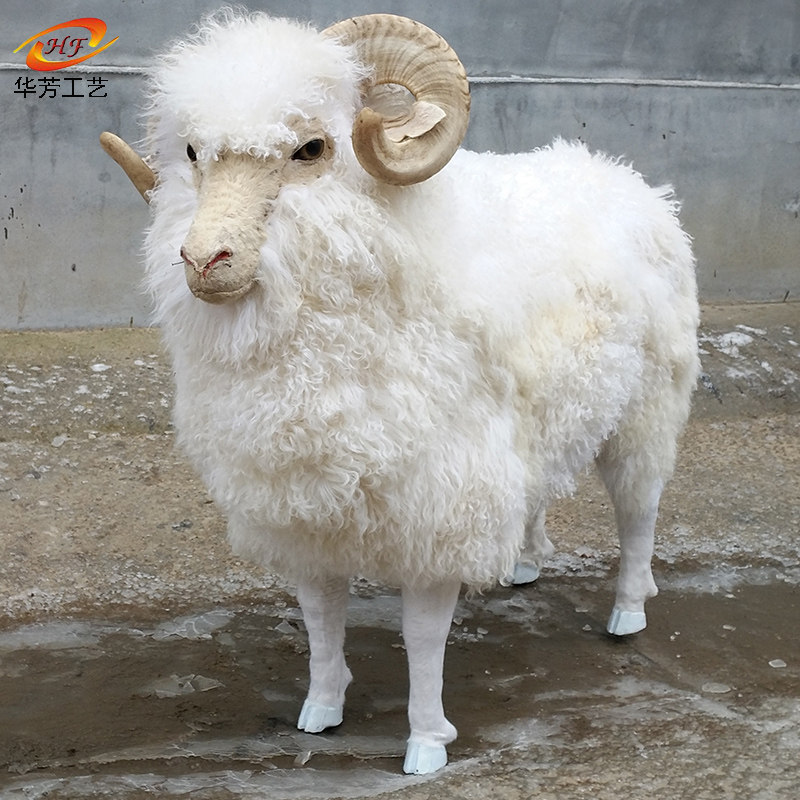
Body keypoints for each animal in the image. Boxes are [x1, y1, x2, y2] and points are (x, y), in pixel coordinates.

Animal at [100, 9, 699, 775]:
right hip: (541, 426)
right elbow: (321, 617)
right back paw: (524, 562)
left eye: (310, 148)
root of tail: (628, 179)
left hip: (645, 413)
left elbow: (423, 637)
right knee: (540, 492)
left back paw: (627, 612)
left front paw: (425, 742)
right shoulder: (307, 505)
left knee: (638, 514)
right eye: (194, 152)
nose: (205, 261)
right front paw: (321, 709)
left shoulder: (439, 503)